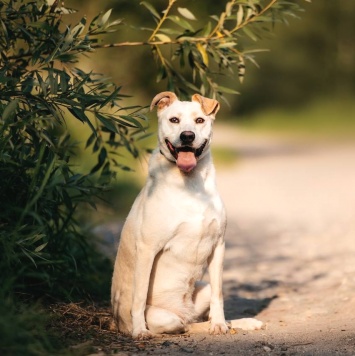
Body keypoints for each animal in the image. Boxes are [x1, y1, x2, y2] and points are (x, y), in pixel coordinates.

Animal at [112, 92, 262, 340]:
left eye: (199, 120)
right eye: (174, 120)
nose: (187, 136)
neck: (191, 183)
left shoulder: (218, 246)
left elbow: (219, 296)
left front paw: (220, 324)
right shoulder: (147, 249)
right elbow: (139, 296)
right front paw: (140, 330)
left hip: (204, 288)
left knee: (195, 320)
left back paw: (237, 323)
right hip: (165, 317)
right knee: (183, 325)